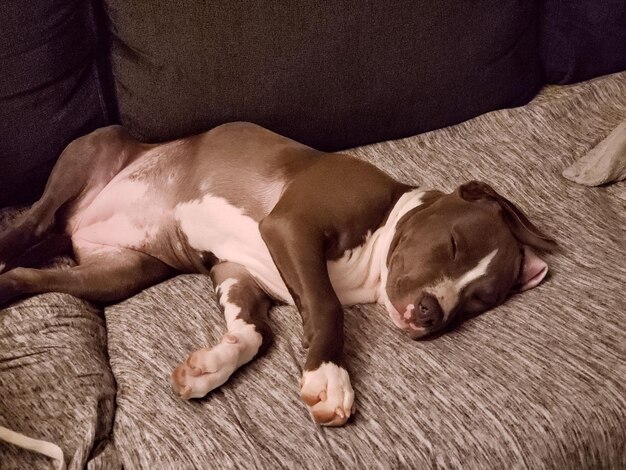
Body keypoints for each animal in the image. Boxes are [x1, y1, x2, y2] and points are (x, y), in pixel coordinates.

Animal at [0, 121, 552, 426]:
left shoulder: (236, 271)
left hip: (119, 271)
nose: (431, 313)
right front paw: (328, 375)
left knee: (33, 276)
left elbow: (254, 334)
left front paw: (210, 365)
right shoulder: (291, 227)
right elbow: (327, 307)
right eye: (454, 244)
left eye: (479, 301)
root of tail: (74, 226)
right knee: (31, 223)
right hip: (92, 151)